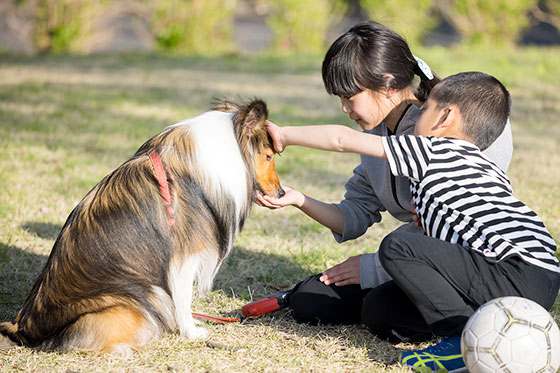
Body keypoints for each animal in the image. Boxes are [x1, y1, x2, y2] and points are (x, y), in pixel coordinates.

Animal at [0, 97, 284, 354]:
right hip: (136, 300)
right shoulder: (183, 257)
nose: (281, 193)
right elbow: (183, 299)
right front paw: (192, 332)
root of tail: (23, 329)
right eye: (269, 156)